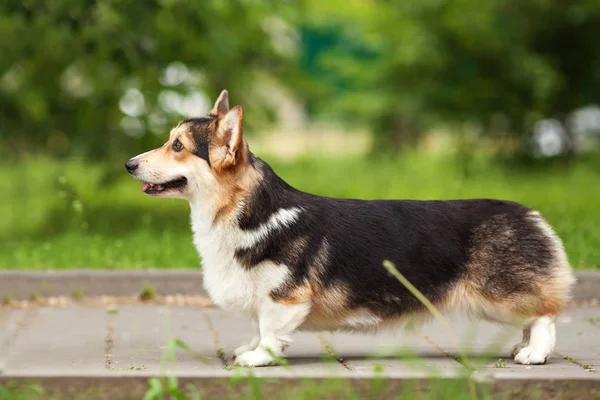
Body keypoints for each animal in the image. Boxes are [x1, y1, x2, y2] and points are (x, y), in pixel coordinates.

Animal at [125, 89, 576, 368]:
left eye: (178, 146)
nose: (129, 164)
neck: (242, 210)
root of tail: (532, 215)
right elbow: (256, 325)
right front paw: (248, 348)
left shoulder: (284, 298)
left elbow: (269, 327)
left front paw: (260, 357)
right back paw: (523, 347)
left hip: (498, 297)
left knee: (546, 313)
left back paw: (534, 354)